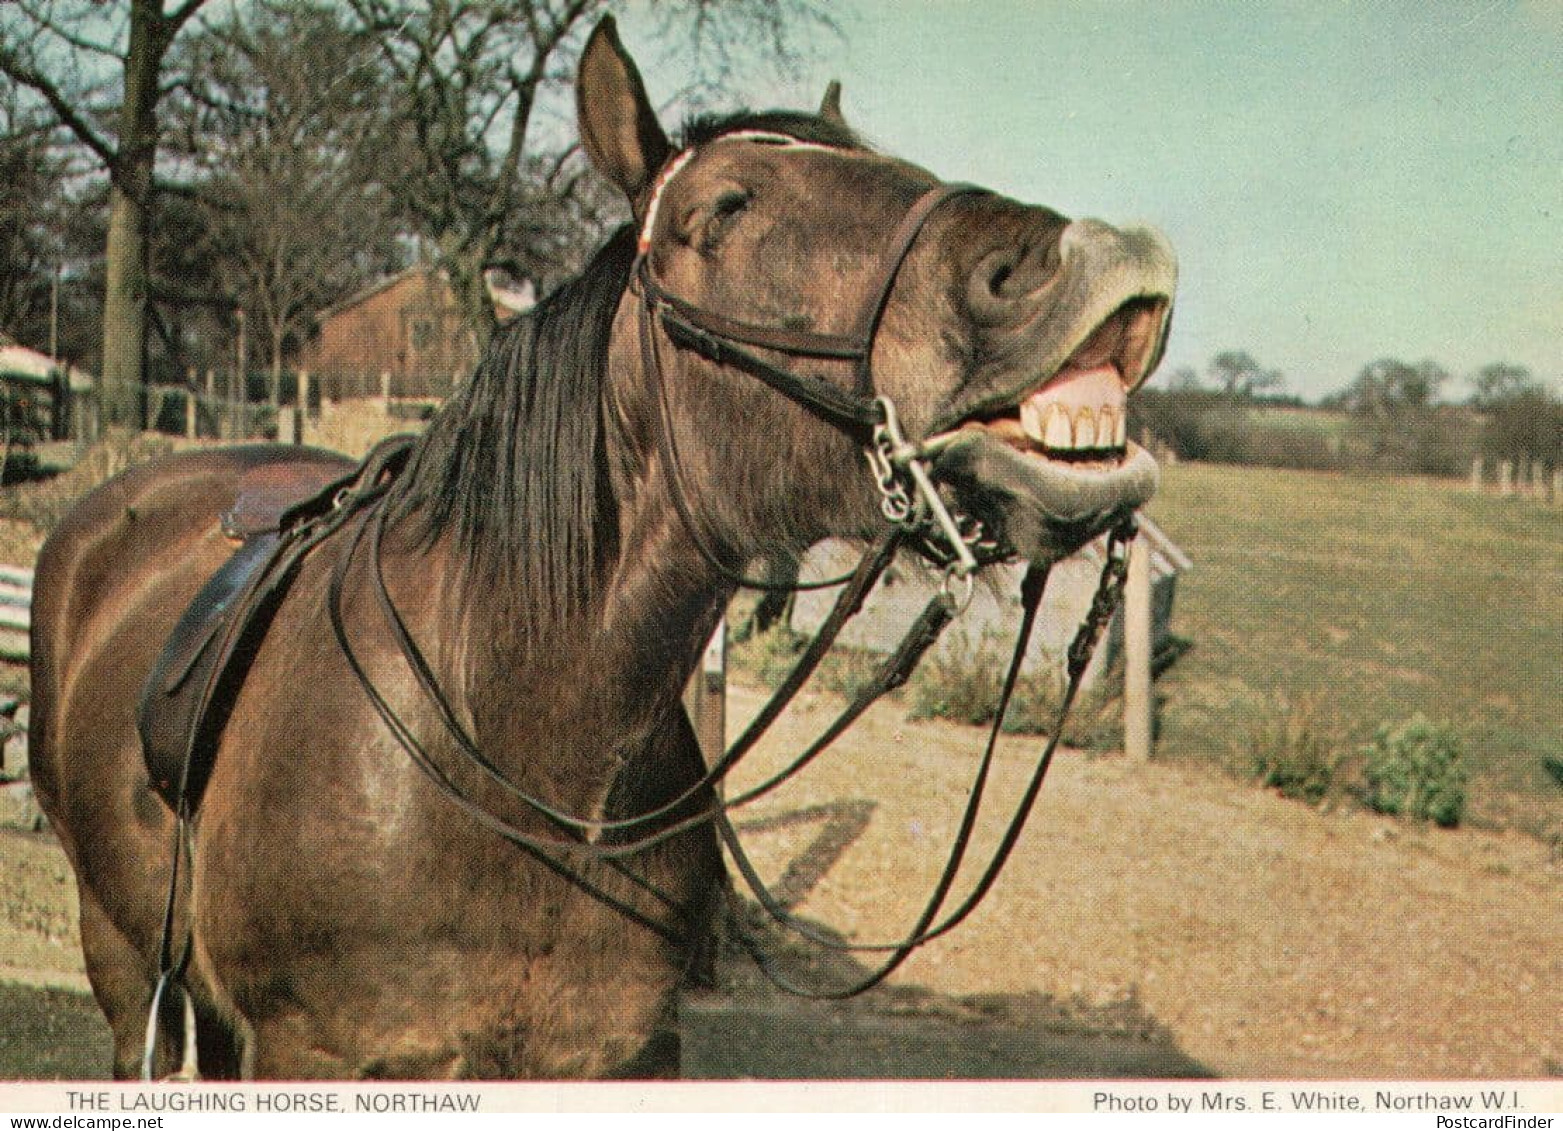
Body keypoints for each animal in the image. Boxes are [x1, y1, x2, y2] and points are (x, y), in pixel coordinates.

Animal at [28, 17, 1176, 1079]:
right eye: (727, 206)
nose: (1094, 260)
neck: (516, 747)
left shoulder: (619, 1056)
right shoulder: (315, 1053)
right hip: (120, 956)